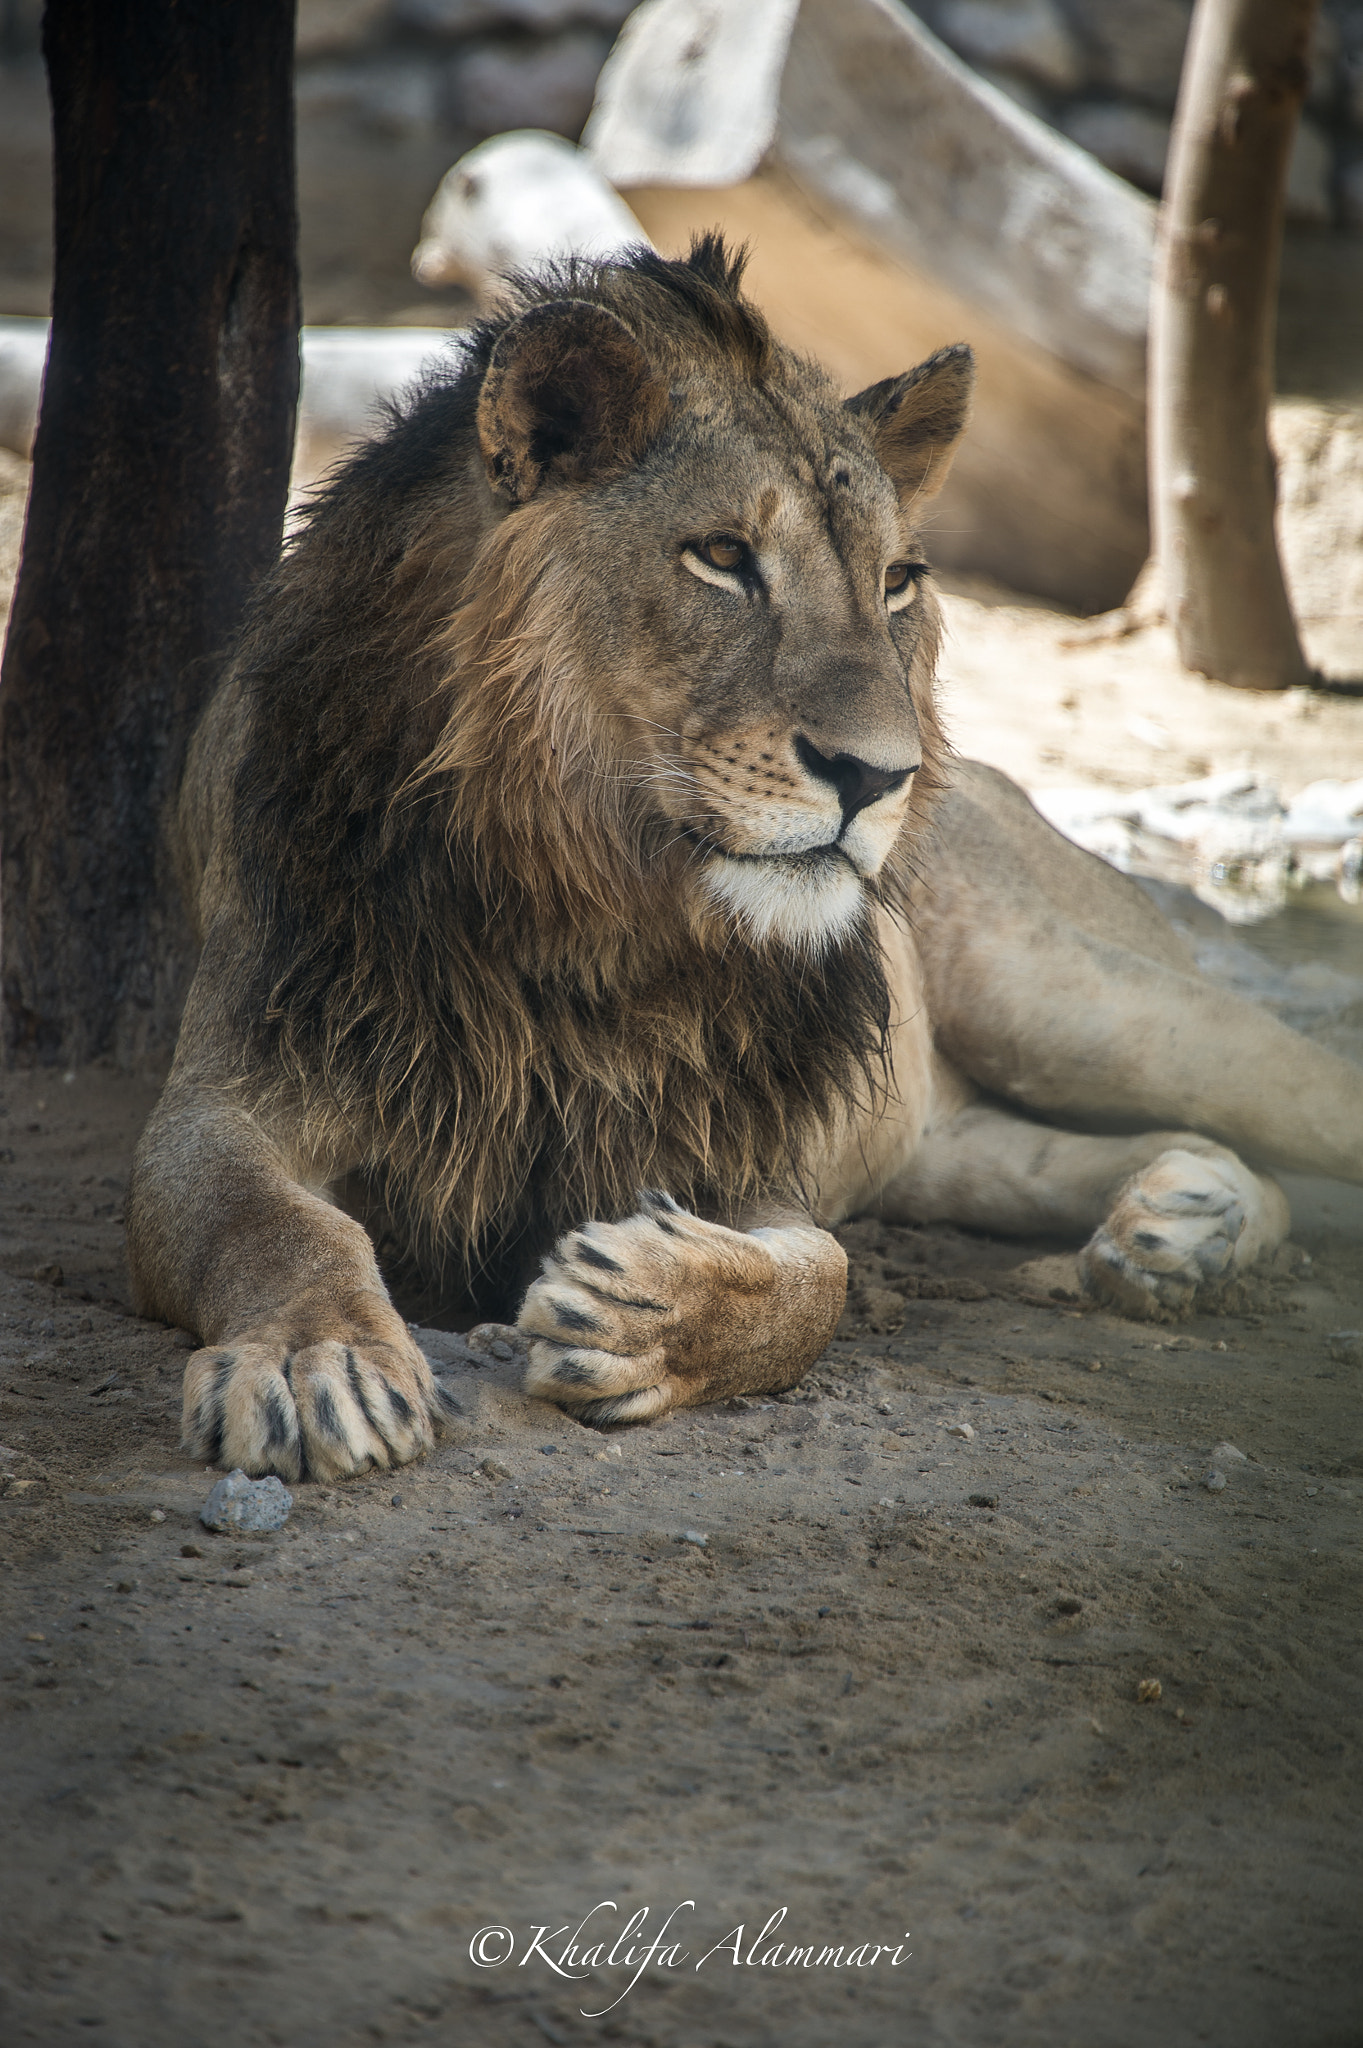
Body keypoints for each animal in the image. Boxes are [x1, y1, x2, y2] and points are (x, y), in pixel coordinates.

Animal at [127, 236, 1363, 1485]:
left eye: (895, 581)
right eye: (722, 557)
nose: (880, 775)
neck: (581, 907)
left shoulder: (739, 1142)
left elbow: (818, 1278)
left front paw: (642, 1314)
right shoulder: (231, 1095)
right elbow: (281, 1226)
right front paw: (315, 1360)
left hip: (1073, 1002)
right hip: (951, 1132)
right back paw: (1181, 1217)